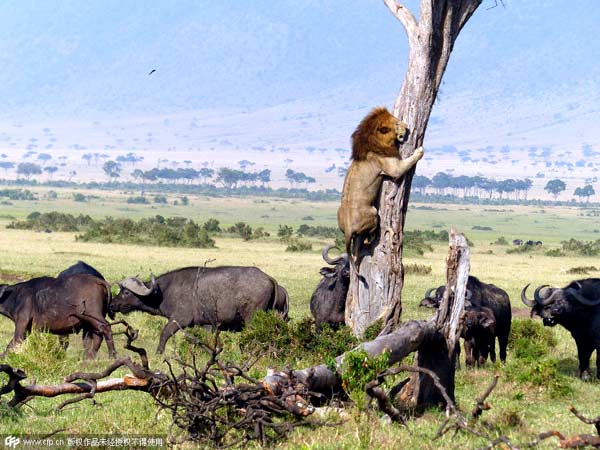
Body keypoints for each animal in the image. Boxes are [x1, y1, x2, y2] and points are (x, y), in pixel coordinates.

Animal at [111, 266, 292, 354]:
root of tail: (269, 279)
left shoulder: (178, 319)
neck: (163, 291)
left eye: (126, 292)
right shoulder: (206, 326)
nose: (112, 304)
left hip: (252, 321)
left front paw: (159, 352)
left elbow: (164, 333)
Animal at [336, 107, 424, 276]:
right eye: (396, 123)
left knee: (357, 244)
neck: (374, 143)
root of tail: (348, 228)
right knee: (370, 233)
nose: (406, 126)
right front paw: (419, 151)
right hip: (373, 212)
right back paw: (379, 234)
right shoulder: (393, 168)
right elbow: (408, 162)